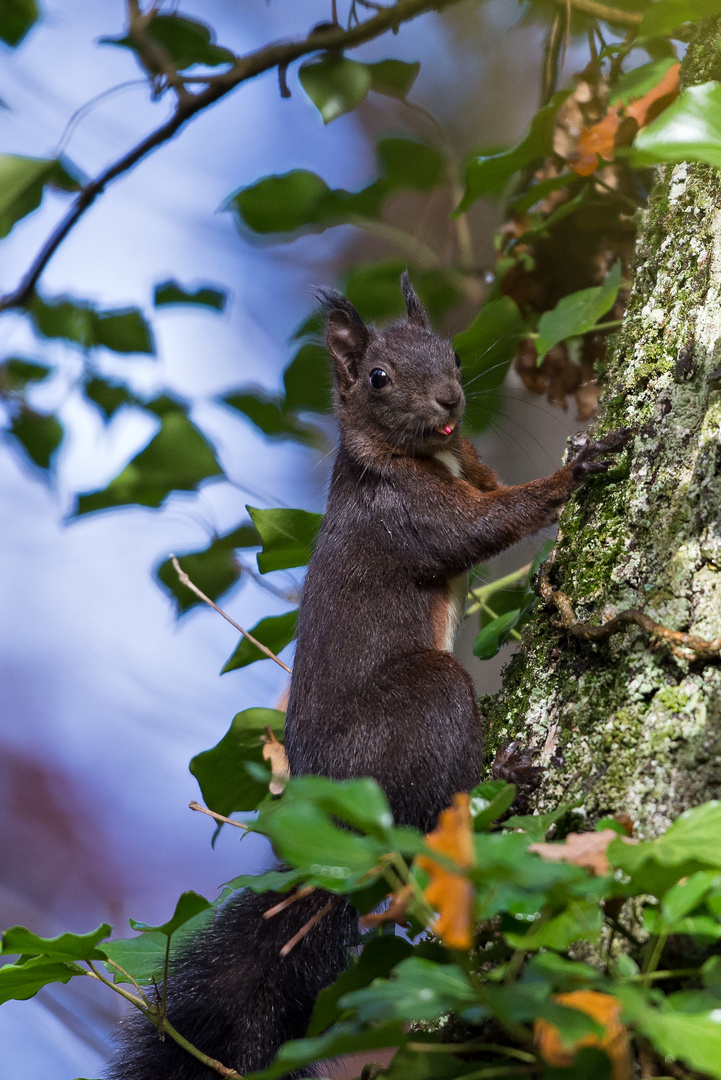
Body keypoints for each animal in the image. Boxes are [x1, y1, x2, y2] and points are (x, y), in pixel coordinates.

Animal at [106, 274, 630, 1075]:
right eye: (377, 378)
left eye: (451, 352)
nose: (449, 400)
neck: (421, 456)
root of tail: (341, 840)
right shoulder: (406, 514)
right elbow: (483, 527)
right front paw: (579, 468)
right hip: (426, 698)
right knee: (427, 817)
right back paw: (504, 776)